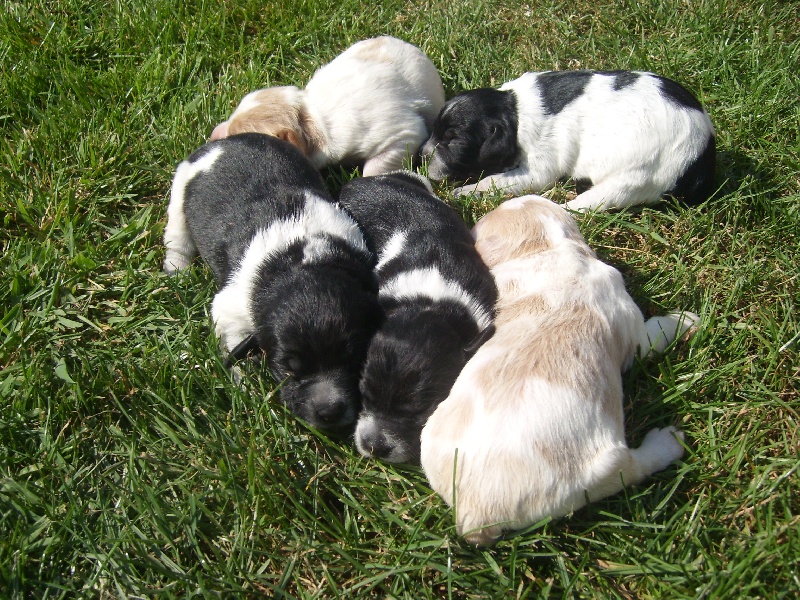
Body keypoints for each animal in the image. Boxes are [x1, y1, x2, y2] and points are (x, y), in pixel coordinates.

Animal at [162, 134, 382, 436]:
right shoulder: (231, 306)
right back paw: (177, 269)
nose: (330, 411)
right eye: (287, 368)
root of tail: (226, 141)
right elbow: (233, 342)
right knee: (177, 236)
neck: (303, 262)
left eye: (355, 359)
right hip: (179, 191)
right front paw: (245, 381)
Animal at [418, 193, 700, 544]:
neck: (544, 249)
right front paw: (685, 320)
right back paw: (667, 442)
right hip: (600, 471)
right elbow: (654, 334)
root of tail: (474, 515)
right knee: (632, 469)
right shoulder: (632, 328)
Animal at [422, 70, 716, 212]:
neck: (513, 110)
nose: (422, 155)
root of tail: (703, 158)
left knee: (582, 206)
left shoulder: (537, 169)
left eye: (453, 142)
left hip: (634, 179)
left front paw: (465, 191)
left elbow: (492, 181)